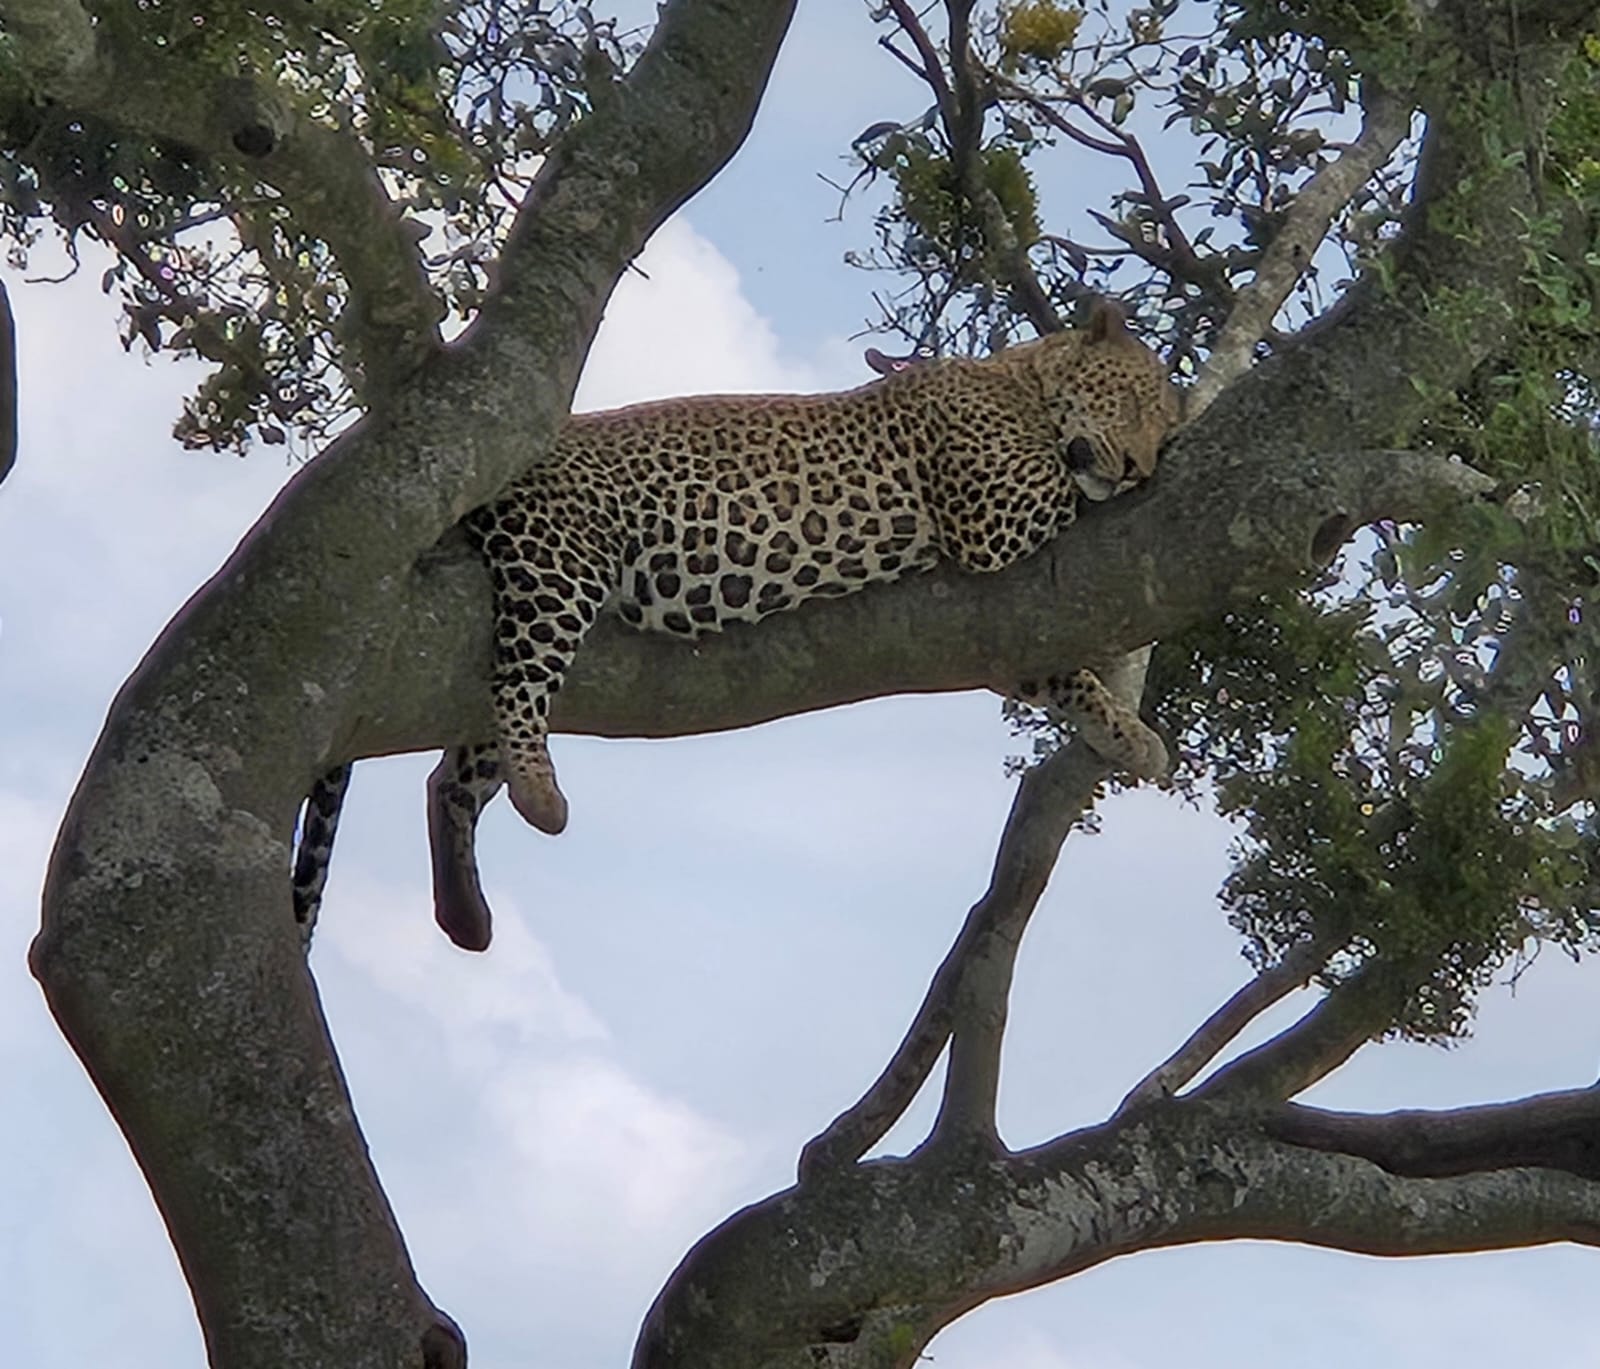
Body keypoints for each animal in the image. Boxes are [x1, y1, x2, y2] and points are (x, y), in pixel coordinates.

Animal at [290, 298, 1180, 950]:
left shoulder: (1004, 641)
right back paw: (542, 796)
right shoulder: (996, 511)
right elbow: (1061, 487)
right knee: (520, 685)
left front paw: (1133, 738)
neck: (1021, 379)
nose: (1143, 467)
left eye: (1162, 426)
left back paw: (466, 912)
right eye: (1137, 402)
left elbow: (1065, 677)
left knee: (452, 771)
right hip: (563, 554)